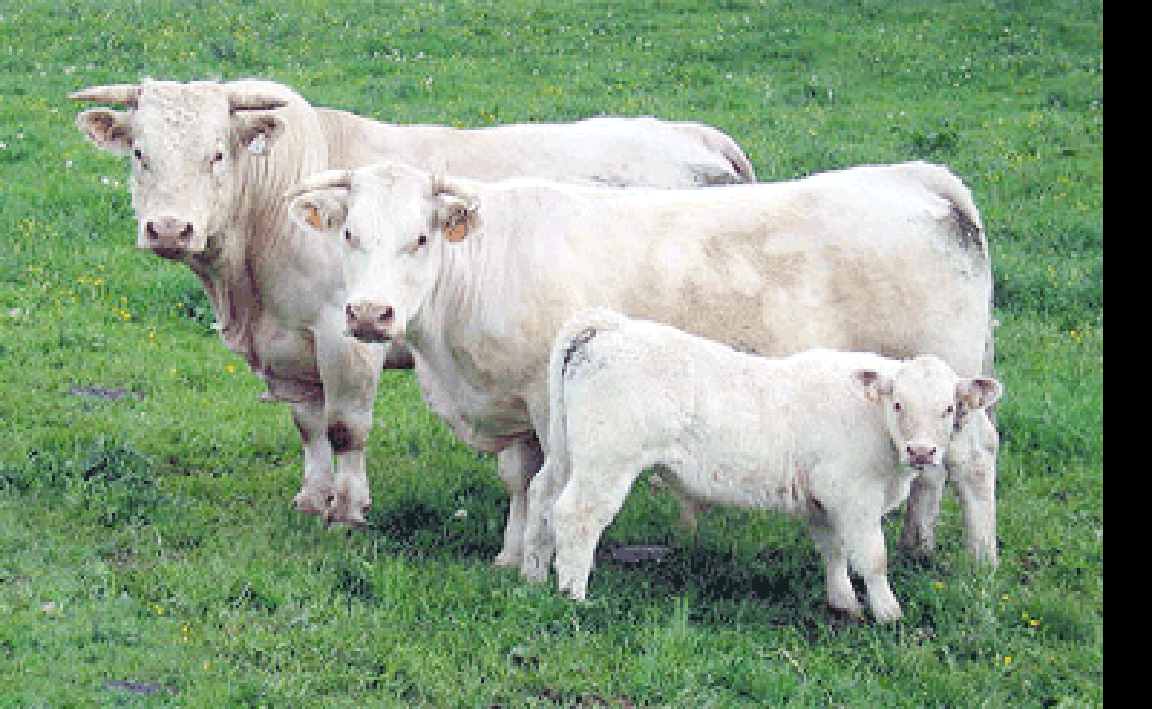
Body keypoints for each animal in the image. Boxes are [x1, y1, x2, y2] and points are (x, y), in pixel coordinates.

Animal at [68, 77, 757, 527]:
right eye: (139, 154)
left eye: (217, 152)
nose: (169, 229)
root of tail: (691, 132)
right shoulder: (291, 346)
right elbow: (308, 426)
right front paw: (312, 497)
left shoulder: (346, 332)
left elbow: (345, 428)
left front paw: (348, 510)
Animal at [286, 158, 1001, 568]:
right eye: (349, 234)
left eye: (421, 237)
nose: (369, 314)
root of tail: (921, 179)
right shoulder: (514, 402)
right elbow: (519, 480)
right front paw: (510, 556)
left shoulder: (544, 400)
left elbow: (542, 483)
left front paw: (529, 561)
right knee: (931, 470)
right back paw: (917, 545)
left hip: (949, 376)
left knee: (974, 458)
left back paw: (980, 562)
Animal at [519, 308, 1002, 621]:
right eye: (899, 403)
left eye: (948, 409)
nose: (922, 452)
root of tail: (611, 326)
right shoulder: (855, 497)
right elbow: (872, 557)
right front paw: (889, 613)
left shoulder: (823, 500)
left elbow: (833, 550)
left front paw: (843, 602)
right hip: (607, 462)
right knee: (577, 514)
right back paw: (573, 594)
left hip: (566, 453)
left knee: (541, 498)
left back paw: (533, 576)